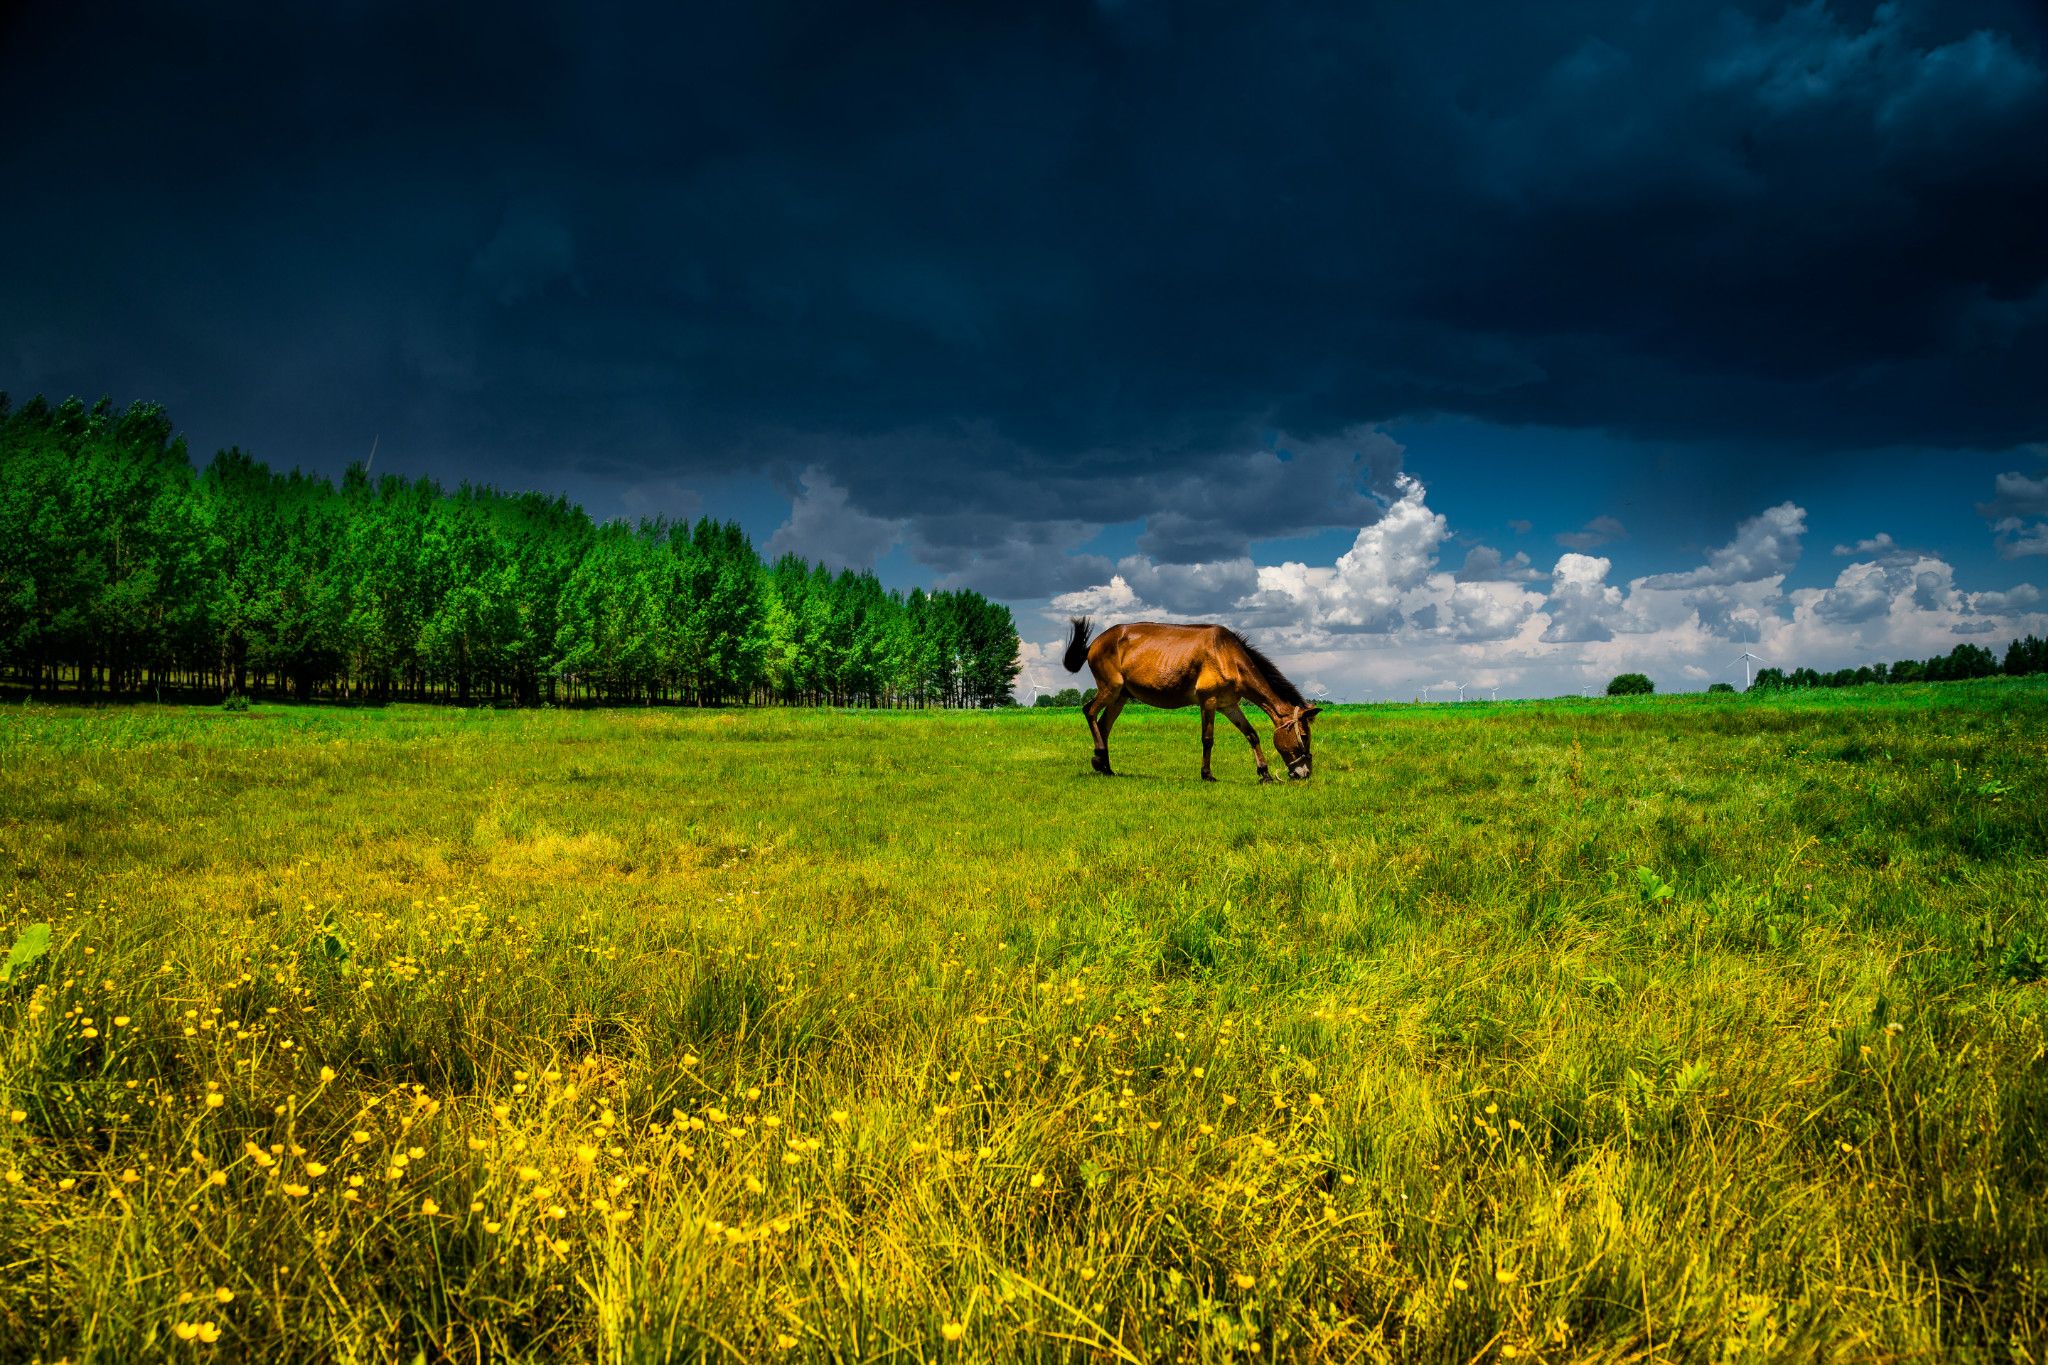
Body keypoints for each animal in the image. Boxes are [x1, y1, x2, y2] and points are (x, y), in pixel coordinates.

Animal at [1056, 618, 1327, 777]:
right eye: (1304, 736)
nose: (1304, 773)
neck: (1226, 655)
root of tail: (1094, 643)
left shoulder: (1229, 705)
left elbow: (1251, 734)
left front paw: (1264, 774)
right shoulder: (1208, 702)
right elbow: (1208, 739)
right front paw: (1207, 774)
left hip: (1120, 697)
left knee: (1103, 725)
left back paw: (1107, 767)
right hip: (1110, 689)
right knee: (1089, 712)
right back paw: (1098, 757)